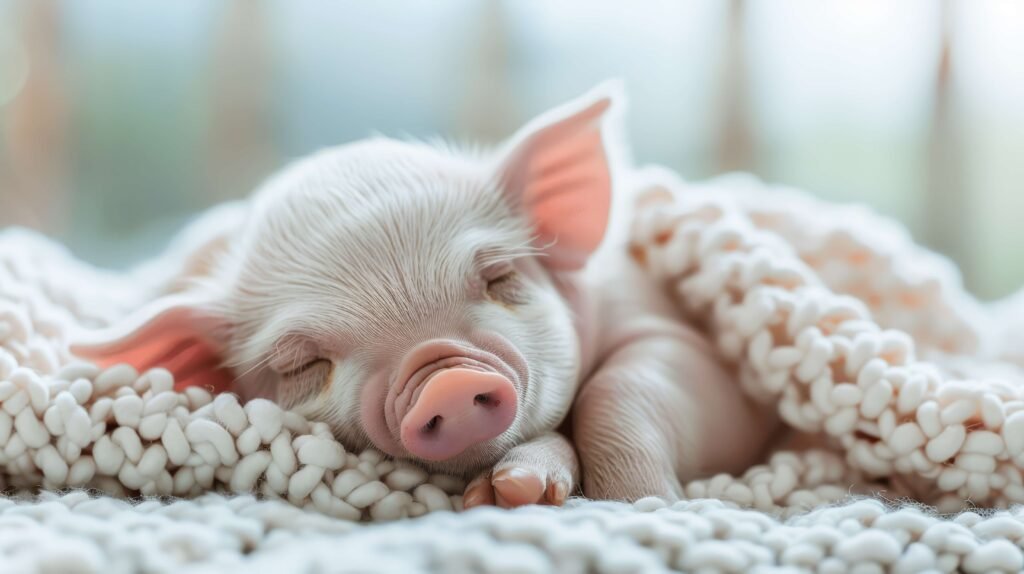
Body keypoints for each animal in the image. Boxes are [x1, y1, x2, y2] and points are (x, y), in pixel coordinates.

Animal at [73, 83, 778, 508]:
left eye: (498, 276)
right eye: (301, 365)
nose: (447, 378)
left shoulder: (677, 336)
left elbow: (627, 384)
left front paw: (641, 504)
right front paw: (510, 494)